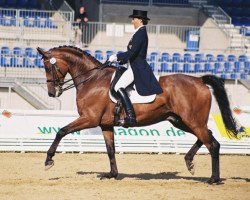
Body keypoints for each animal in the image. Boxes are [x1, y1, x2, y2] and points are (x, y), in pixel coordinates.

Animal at [37, 45, 238, 184]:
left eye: (47, 67)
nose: (52, 93)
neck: (92, 80)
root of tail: (200, 80)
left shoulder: (89, 119)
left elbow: (61, 131)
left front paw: (48, 160)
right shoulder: (105, 124)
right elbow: (110, 149)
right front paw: (112, 174)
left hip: (193, 121)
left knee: (212, 144)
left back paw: (213, 179)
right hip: (180, 120)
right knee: (208, 137)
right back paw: (189, 162)